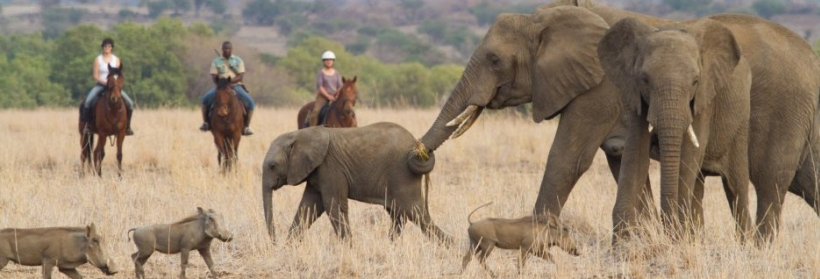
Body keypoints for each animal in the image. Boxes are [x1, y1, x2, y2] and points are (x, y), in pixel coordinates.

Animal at [420, 0, 820, 243]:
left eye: (494, 60)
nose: (420, 158)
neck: (551, 15)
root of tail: (811, 57)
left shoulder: (599, 90)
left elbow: (568, 158)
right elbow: (623, 165)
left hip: (785, 111)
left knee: (770, 185)